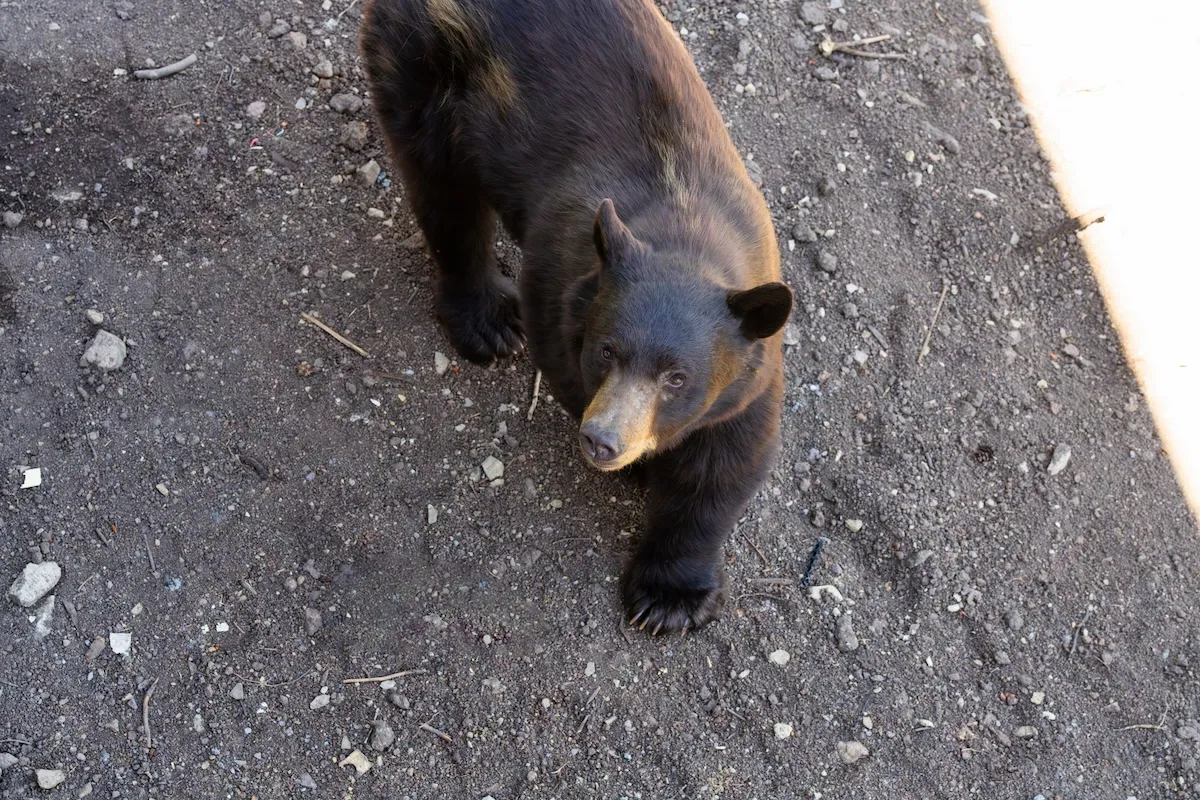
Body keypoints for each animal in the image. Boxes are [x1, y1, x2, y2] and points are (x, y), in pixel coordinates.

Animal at [360, 0, 793, 634]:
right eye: (606, 350)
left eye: (677, 378)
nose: (602, 442)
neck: (687, 226)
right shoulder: (557, 278)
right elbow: (563, 366)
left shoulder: (751, 370)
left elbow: (725, 465)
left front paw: (669, 600)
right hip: (426, 70)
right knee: (443, 192)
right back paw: (488, 320)